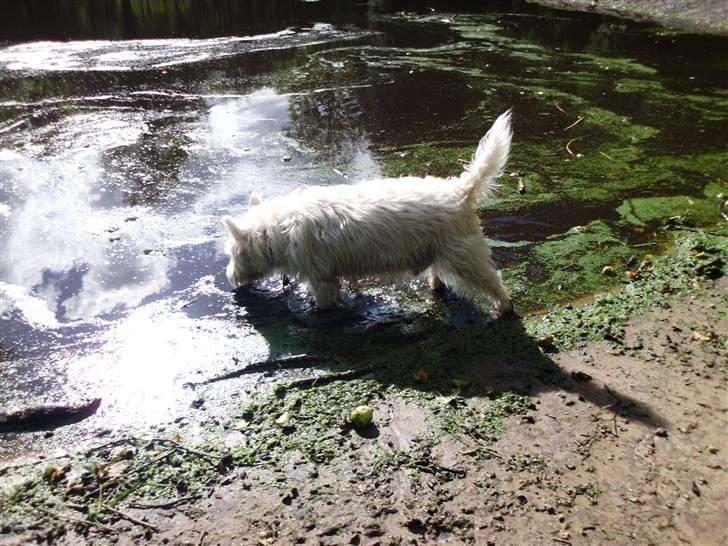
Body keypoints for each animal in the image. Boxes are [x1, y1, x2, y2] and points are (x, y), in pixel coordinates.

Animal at [222, 109, 512, 314]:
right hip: (439, 250)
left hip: (465, 256)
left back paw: (504, 307)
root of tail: (460, 191)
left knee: (492, 280)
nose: (230, 277)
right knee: (438, 271)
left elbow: (324, 303)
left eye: (234, 253)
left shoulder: (321, 278)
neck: (279, 230)